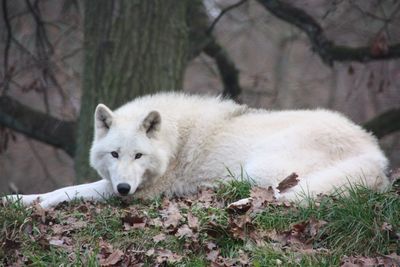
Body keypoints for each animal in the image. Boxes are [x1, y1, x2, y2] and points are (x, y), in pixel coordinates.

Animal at [3, 93, 390, 208]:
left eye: (138, 156)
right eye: (114, 155)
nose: (124, 189)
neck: (174, 141)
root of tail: (374, 152)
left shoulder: (145, 191)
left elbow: (67, 190)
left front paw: (26, 202)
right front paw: (16, 200)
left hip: (259, 166)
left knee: (281, 194)